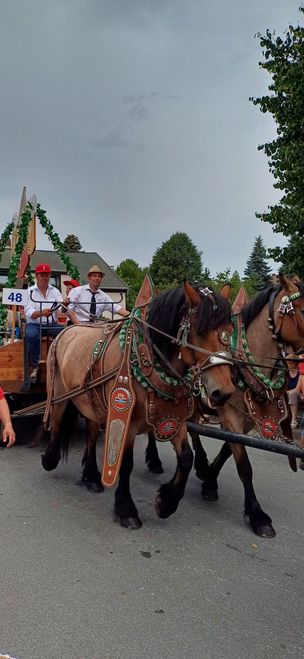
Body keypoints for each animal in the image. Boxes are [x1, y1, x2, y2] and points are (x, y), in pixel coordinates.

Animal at [39, 282, 235, 528]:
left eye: (229, 332)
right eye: (199, 332)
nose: (223, 392)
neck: (147, 358)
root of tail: (68, 330)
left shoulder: (174, 420)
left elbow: (186, 458)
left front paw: (166, 502)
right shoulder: (126, 421)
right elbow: (126, 463)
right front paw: (126, 509)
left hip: (92, 401)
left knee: (91, 433)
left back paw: (92, 477)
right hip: (59, 392)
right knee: (56, 420)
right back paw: (50, 458)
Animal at [144, 276, 304, 540]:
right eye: (301, 310)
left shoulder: (243, 422)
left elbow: (229, 450)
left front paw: (209, 479)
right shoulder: (230, 417)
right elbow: (244, 466)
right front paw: (257, 515)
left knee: (192, 430)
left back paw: (199, 465)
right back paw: (155, 459)